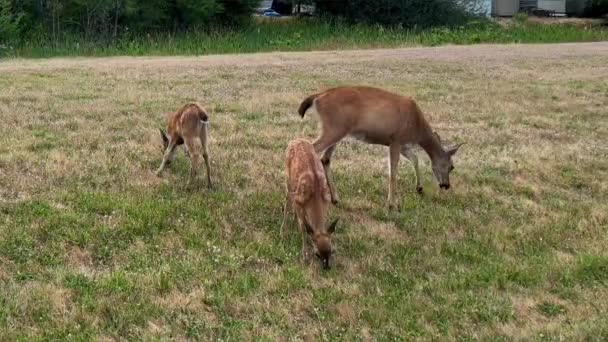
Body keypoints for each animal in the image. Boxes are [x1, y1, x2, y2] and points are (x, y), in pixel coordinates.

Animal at [282, 138, 340, 268]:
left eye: (331, 251)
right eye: (317, 254)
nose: (327, 268)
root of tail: (296, 139)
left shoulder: (327, 201)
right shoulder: (298, 199)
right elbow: (303, 228)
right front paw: (305, 255)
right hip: (287, 175)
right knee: (287, 197)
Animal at [296, 85, 464, 208]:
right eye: (452, 166)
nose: (446, 185)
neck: (417, 127)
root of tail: (318, 96)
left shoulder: (403, 144)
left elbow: (415, 159)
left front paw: (419, 188)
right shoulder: (395, 140)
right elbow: (393, 172)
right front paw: (392, 204)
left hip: (338, 131)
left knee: (325, 159)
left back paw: (335, 199)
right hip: (334, 128)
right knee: (309, 148)